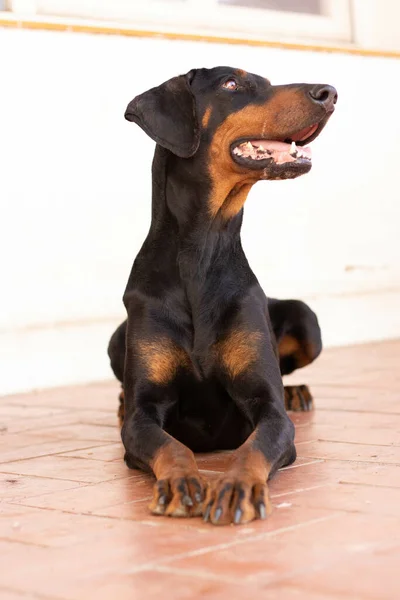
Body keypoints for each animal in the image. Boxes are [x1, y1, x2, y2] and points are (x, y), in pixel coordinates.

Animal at [108, 67, 336, 524]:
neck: (203, 246)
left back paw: (296, 393)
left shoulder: (269, 410)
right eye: (231, 84)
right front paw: (180, 481)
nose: (330, 93)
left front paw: (236, 487)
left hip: (307, 321)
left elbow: (255, 446)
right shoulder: (144, 415)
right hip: (116, 338)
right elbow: (170, 445)